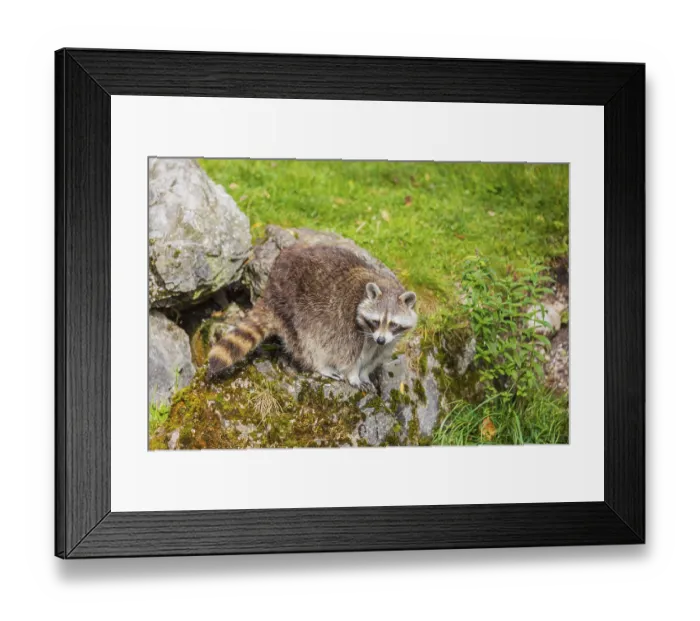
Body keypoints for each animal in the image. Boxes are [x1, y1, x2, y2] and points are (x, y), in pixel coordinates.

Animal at [207, 244, 417, 390]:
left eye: (393, 324)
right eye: (376, 321)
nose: (380, 339)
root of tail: (270, 290)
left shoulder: (389, 341)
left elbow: (375, 357)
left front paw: (365, 373)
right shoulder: (348, 326)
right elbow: (348, 356)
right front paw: (354, 376)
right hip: (294, 310)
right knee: (307, 342)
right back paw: (320, 366)